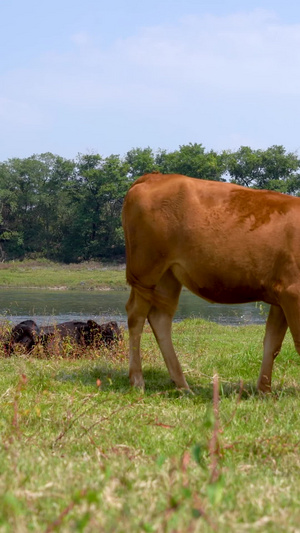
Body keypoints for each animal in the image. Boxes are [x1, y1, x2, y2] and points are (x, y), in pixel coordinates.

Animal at [121, 172, 300, 392]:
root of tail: (155, 176)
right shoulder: (293, 292)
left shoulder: (280, 295)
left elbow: (272, 343)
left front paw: (264, 390)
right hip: (146, 270)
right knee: (136, 316)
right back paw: (138, 380)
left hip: (168, 275)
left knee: (160, 318)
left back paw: (182, 385)